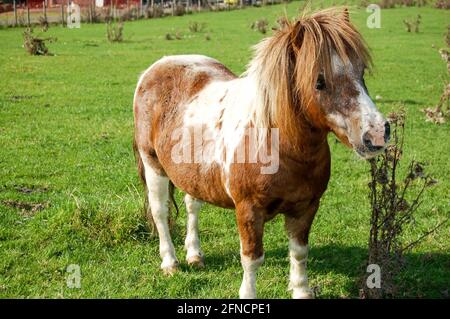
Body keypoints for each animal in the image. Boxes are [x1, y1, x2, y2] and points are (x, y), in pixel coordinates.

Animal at [132, 7, 388, 298]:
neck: (278, 146)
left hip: (193, 174)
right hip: (154, 166)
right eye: (319, 82)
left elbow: (299, 253)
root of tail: (153, 70)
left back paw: (195, 255)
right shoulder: (249, 210)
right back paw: (170, 262)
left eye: (361, 71)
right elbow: (252, 258)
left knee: (192, 205)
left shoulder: (306, 207)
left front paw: (301, 290)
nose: (377, 133)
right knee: (160, 213)